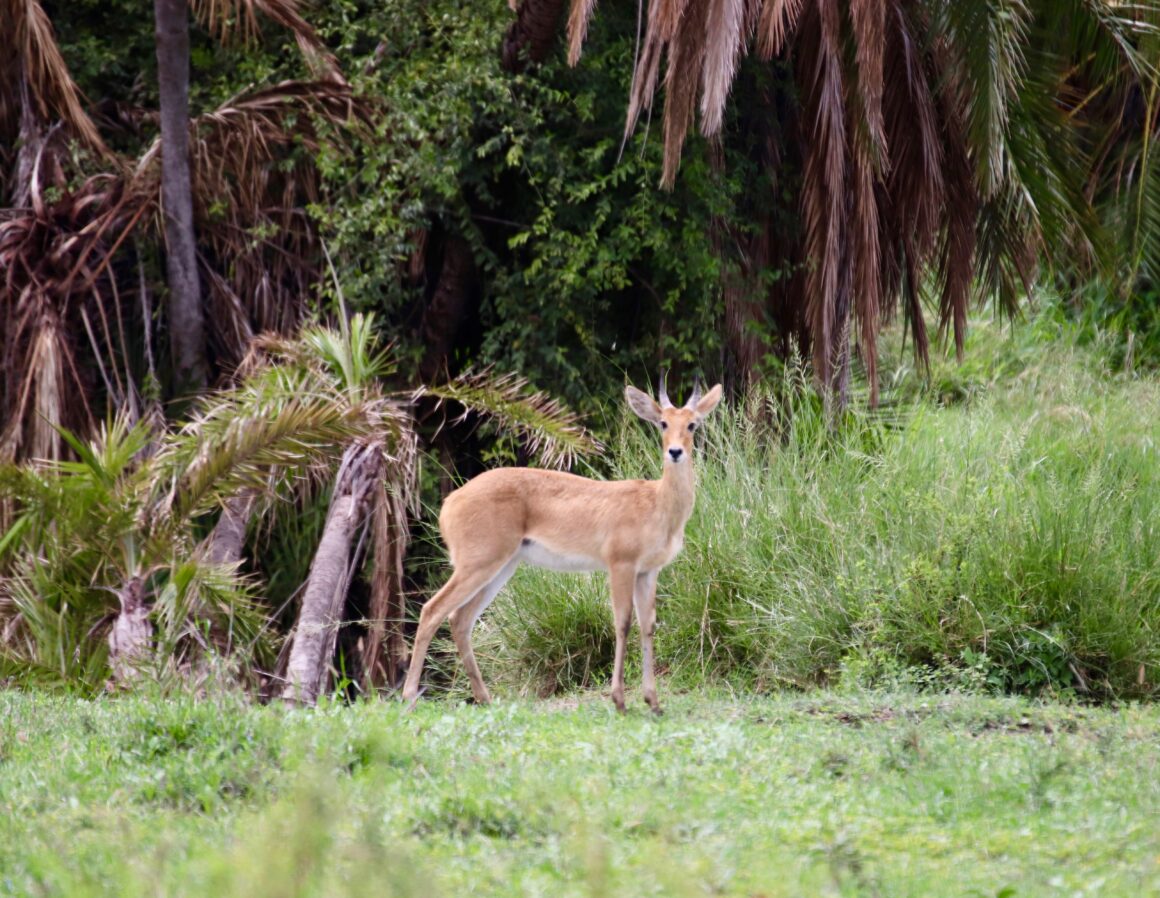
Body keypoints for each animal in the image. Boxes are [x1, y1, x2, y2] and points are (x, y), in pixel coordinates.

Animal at [402, 379, 723, 714]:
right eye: (663, 422)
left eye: (692, 423)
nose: (675, 451)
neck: (656, 503)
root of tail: (450, 502)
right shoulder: (620, 565)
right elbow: (622, 623)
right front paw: (620, 700)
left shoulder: (648, 571)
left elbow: (648, 625)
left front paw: (653, 702)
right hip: (478, 564)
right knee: (432, 610)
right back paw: (410, 697)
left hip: (501, 567)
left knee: (460, 619)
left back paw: (484, 697)